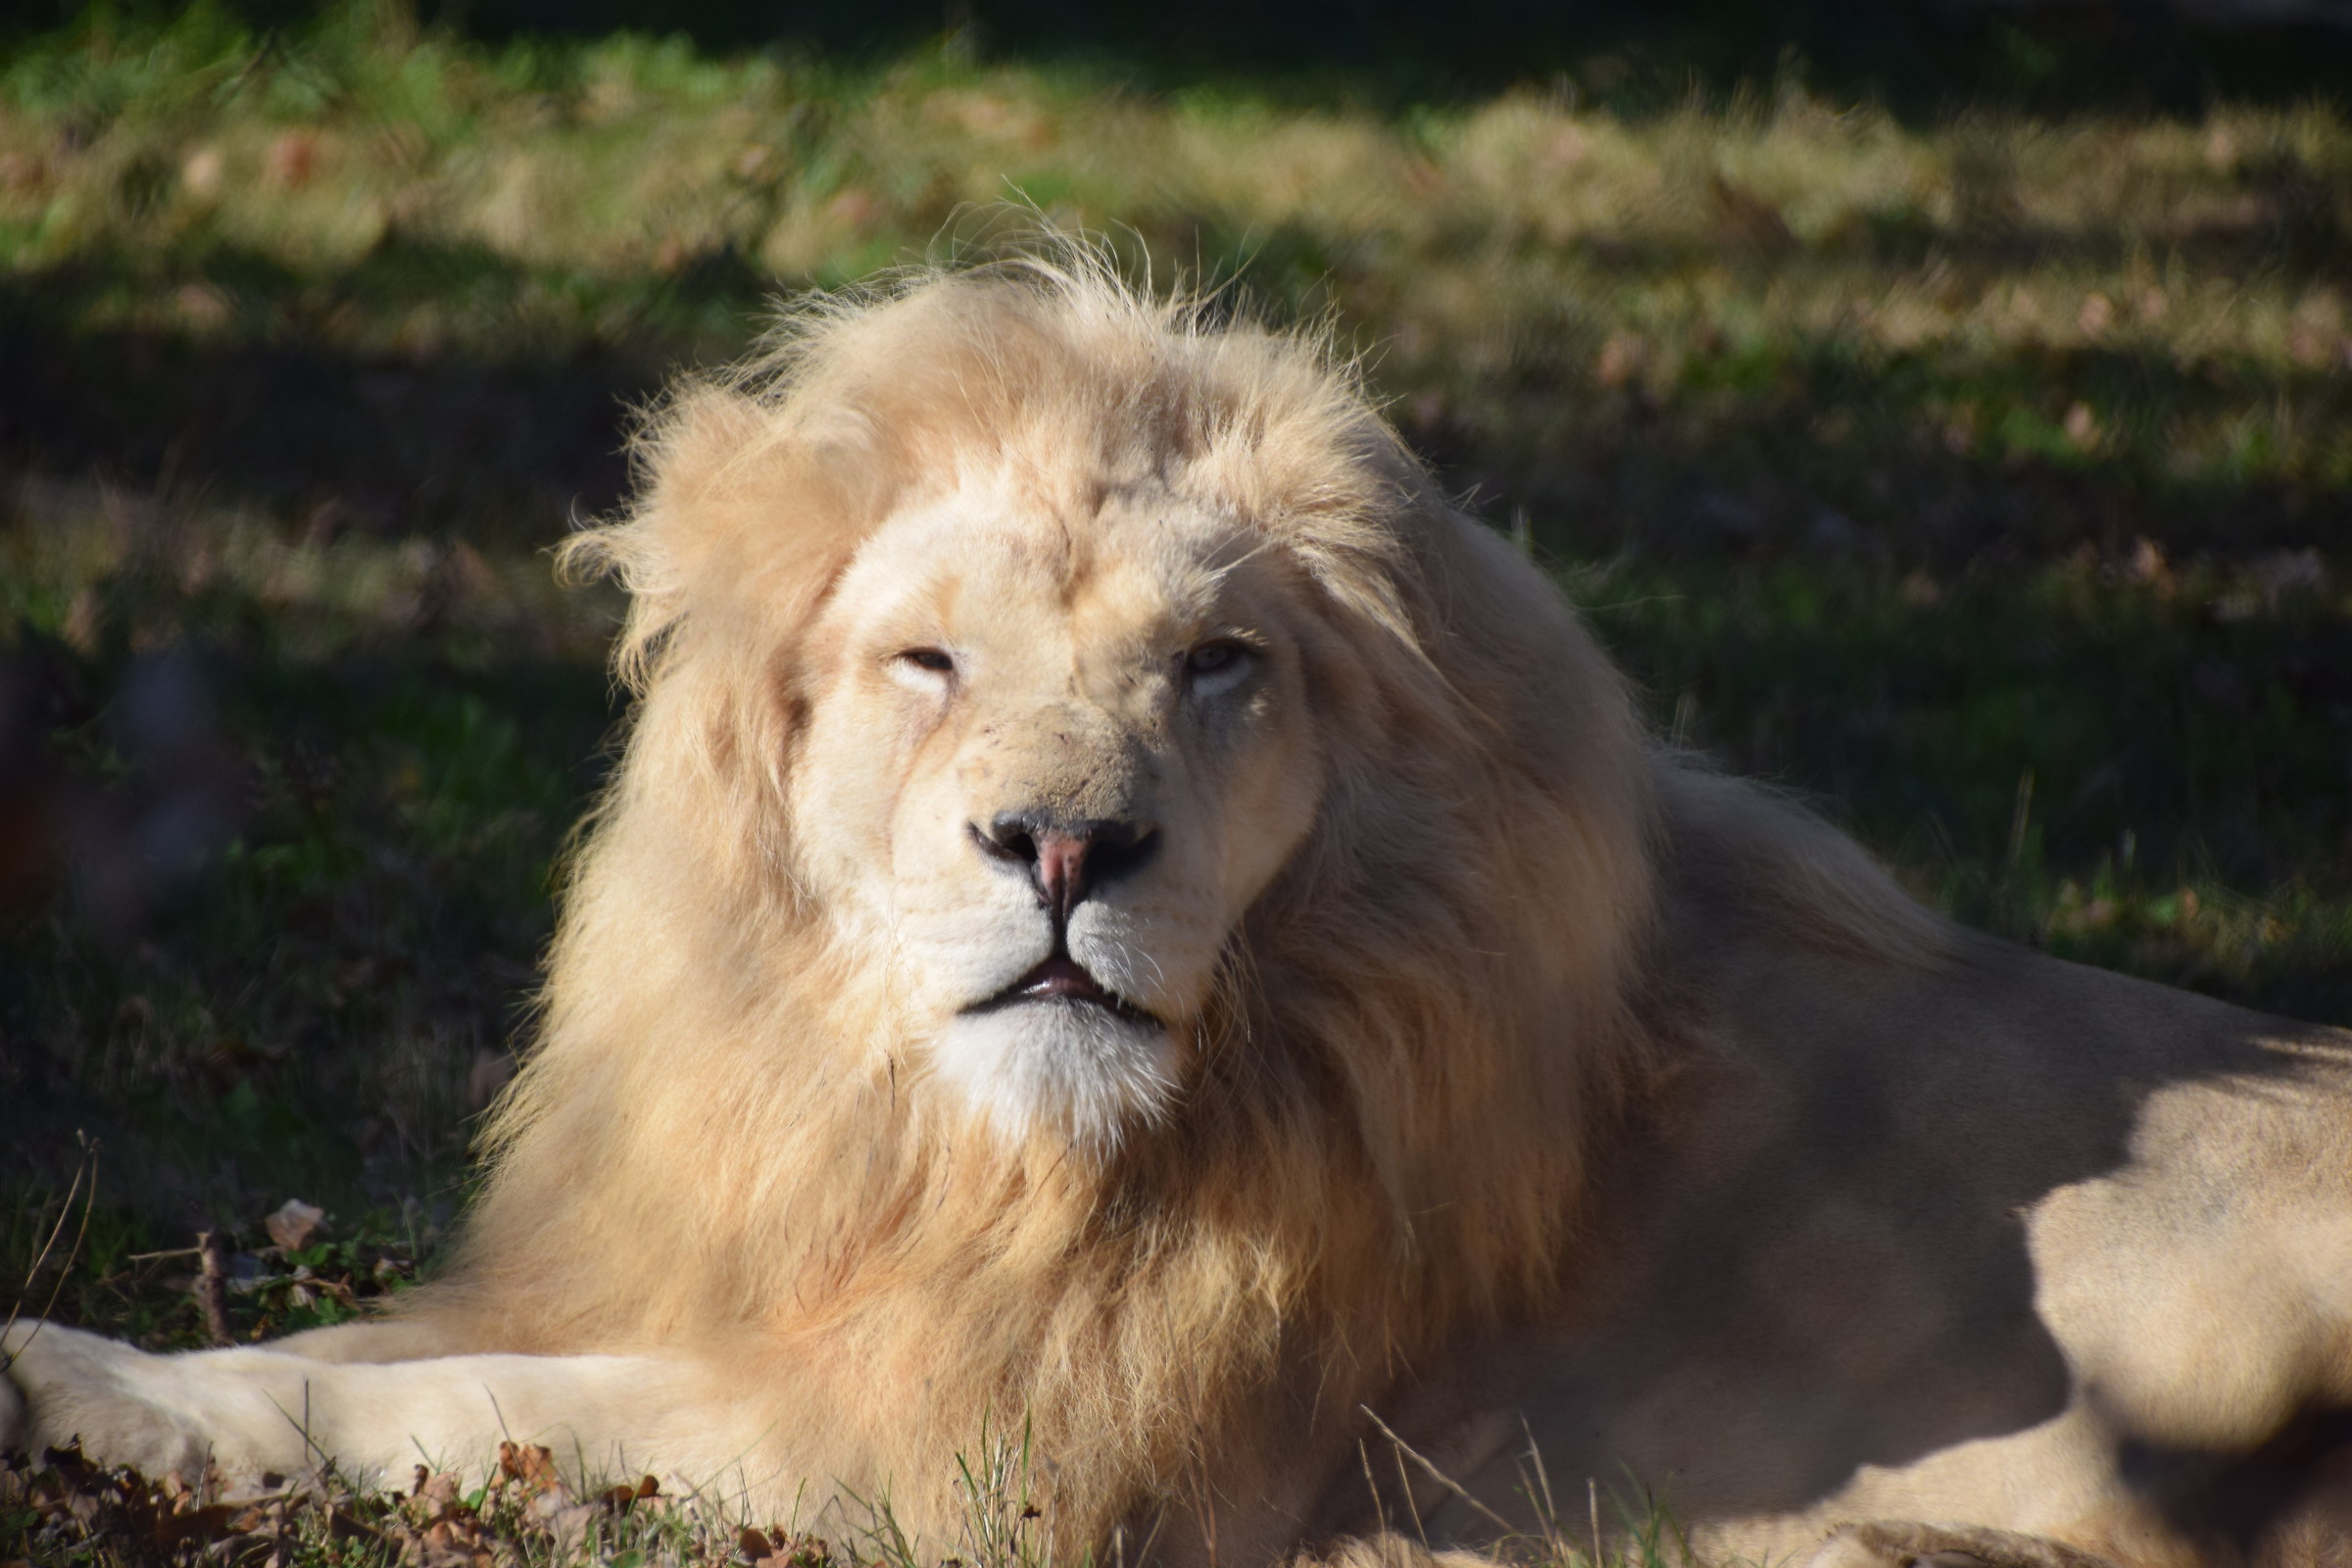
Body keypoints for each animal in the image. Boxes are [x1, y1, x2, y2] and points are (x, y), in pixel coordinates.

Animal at [8, 258, 2352, 1568]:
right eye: (930, 661)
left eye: (1220, 665)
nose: (1064, 848)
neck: (956, 1151)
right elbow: (396, 1345)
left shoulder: (977, 1464)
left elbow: (468, 1405)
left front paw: (87, 1392)